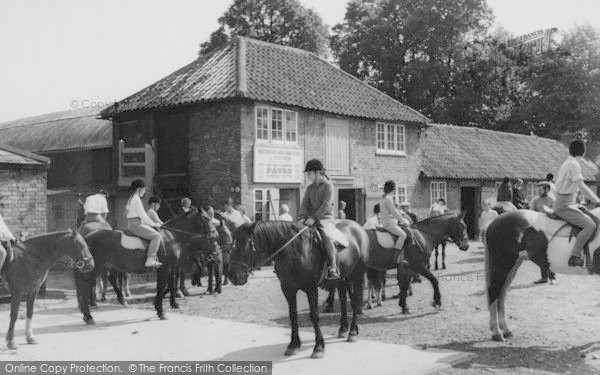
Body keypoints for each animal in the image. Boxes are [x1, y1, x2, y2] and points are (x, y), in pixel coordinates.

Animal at [74, 212, 217, 324]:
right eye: (206, 218)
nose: (214, 235)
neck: (171, 237)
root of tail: (87, 237)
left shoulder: (171, 267)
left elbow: (170, 285)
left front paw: (171, 304)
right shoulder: (164, 268)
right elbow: (161, 287)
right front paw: (161, 312)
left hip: (106, 266)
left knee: (106, 280)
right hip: (95, 267)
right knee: (87, 285)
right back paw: (89, 316)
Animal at [230, 222, 370, 360]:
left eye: (245, 244)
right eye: (233, 243)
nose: (233, 276)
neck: (294, 251)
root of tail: (357, 227)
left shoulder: (311, 288)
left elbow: (314, 316)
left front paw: (318, 347)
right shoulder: (288, 289)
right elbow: (293, 316)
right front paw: (293, 345)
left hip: (357, 275)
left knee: (356, 302)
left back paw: (352, 332)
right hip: (342, 279)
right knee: (343, 300)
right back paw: (343, 329)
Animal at [482, 210, 600, 342]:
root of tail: (493, 222)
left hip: (512, 267)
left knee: (501, 295)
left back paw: (506, 330)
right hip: (503, 266)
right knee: (494, 292)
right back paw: (497, 333)